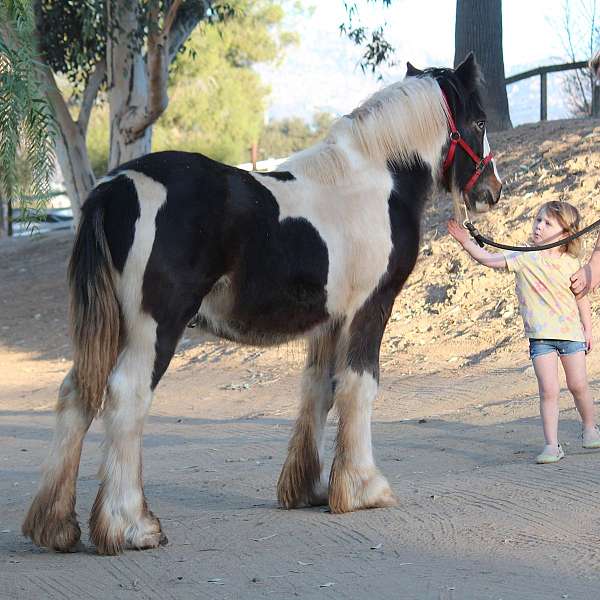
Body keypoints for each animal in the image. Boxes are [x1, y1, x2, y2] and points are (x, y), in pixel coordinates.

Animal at [22, 51, 502, 552]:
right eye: (479, 120)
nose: (491, 191)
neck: (375, 178)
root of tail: (113, 188)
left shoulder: (330, 321)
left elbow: (319, 389)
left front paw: (308, 488)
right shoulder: (371, 307)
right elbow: (359, 386)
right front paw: (364, 489)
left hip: (110, 327)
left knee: (77, 394)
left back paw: (56, 526)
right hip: (155, 328)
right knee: (124, 397)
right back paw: (131, 526)